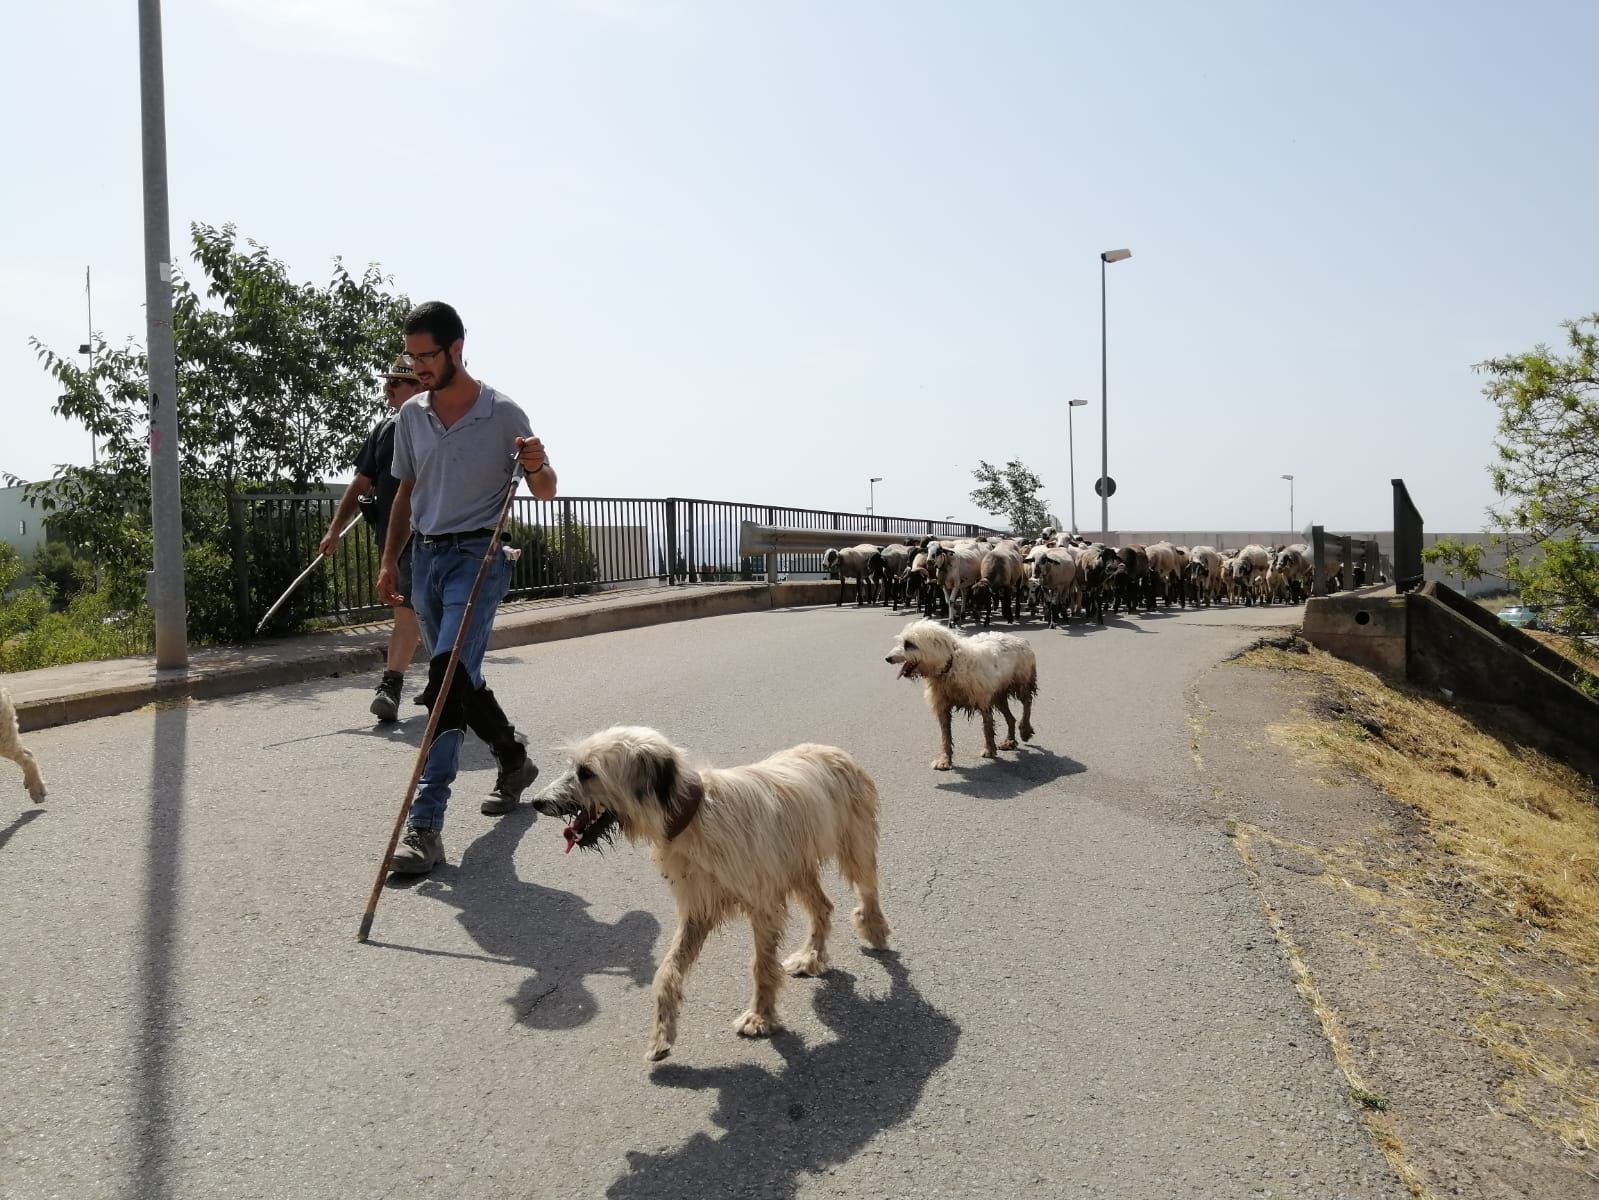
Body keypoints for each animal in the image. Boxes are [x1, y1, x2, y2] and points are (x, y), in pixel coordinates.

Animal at [534, 729, 889, 1068]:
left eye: (586, 772)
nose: (537, 801)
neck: (693, 817)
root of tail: (833, 750)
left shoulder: (763, 904)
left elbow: (762, 965)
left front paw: (760, 1016)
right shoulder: (697, 910)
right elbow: (667, 970)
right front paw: (662, 1036)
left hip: (853, 843)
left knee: (867, 888)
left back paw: (874, 930)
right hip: (796, 866)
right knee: (822, 907)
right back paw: (812, 956)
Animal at [889, 620, 1036, 771]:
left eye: (909, 644)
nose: (888, 658)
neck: (950, 666)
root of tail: (1020, 639)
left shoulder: (983, 699)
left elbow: (987, 727)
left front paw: (989, 749)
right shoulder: (943, 706)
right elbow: (945, 736)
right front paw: (945, 760)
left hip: (1021, 682)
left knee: (1027, 704)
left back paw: (1025, 729)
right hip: (998, 695)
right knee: (1011, 718)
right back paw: (1010, 741)